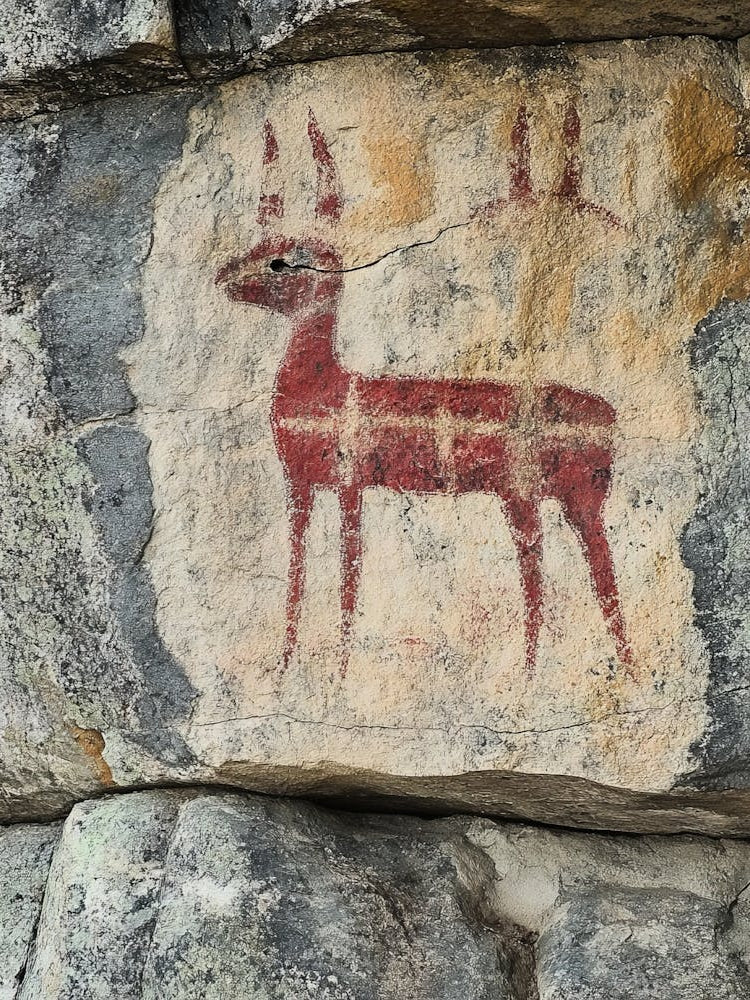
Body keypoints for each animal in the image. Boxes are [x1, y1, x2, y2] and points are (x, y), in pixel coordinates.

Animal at [215, 106, 633, 679]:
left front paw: (337, 668)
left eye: (281, 262)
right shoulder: (300, 483)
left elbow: (347, 572)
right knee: (563, 573)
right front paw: (287, 662)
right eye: (258, 250)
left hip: (555, 495)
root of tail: (610, 417)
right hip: (549, 499)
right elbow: (298, 568)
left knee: (572, 576)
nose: (222, 278)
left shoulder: (348, 480)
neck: (322, 386)